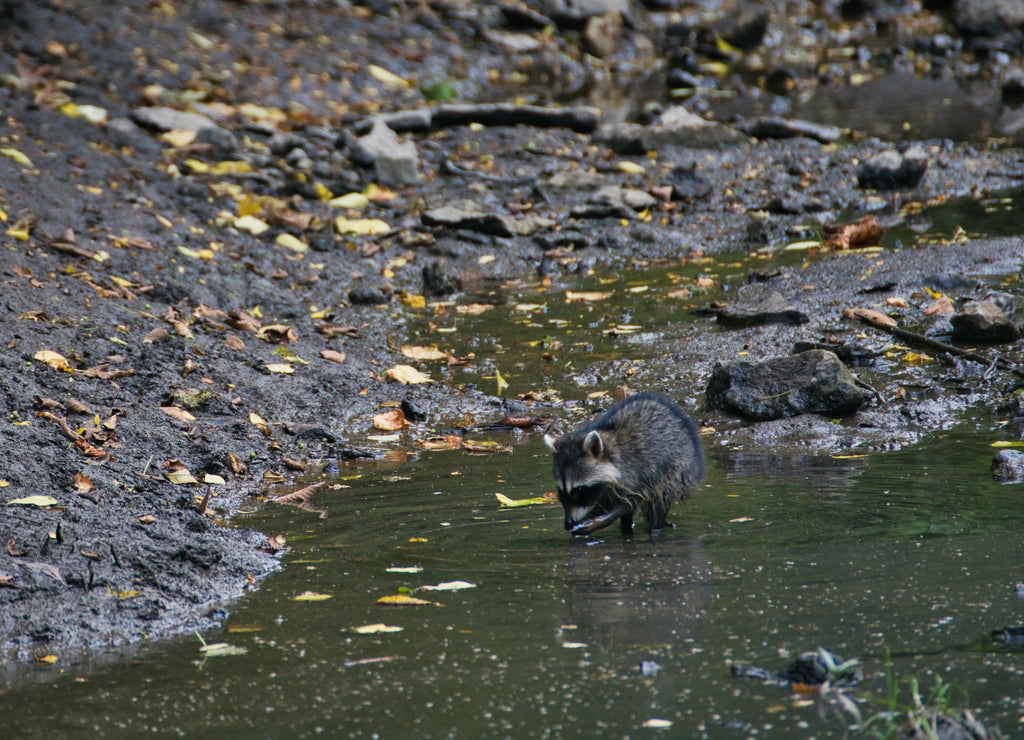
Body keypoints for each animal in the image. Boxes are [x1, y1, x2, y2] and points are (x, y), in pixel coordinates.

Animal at [544, 392, 704, 536]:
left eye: (579, 490)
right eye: (561, 490)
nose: (568, 522)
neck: (611, 451)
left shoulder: (638, 476)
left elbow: (626, 504)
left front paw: (597, 521)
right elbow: (607, 503)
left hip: (675, 473)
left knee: (658, 504)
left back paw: (655, 529)